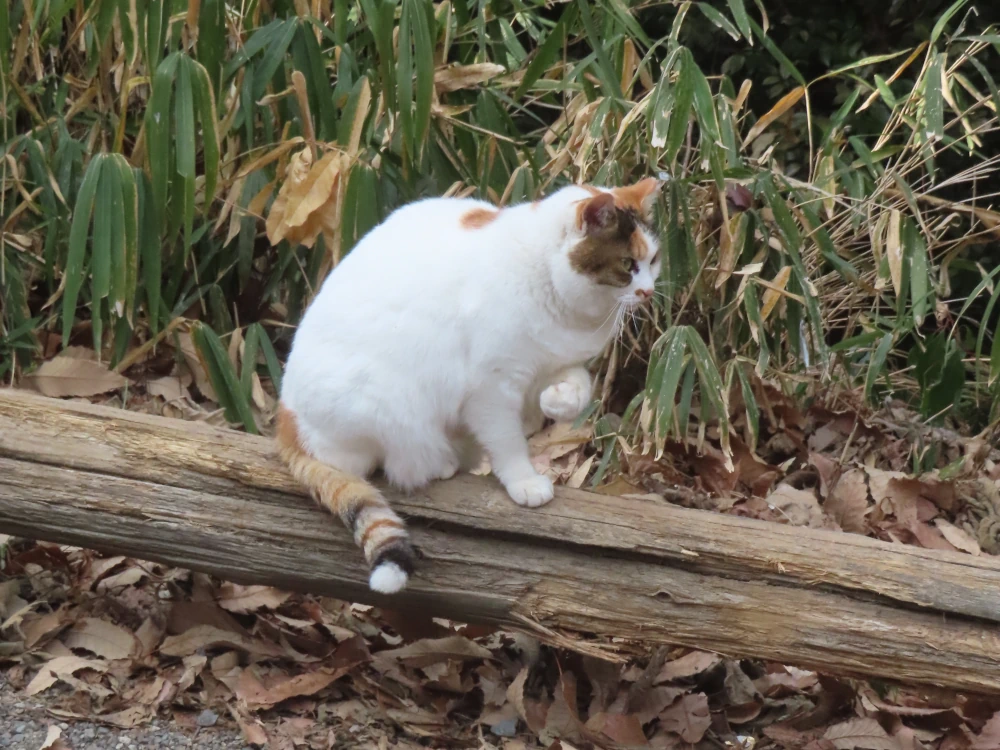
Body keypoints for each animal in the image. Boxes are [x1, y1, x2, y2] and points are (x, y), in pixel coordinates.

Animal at [278, 179, 660, 596]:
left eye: (654, 261)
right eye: (628, 265)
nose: (649, 292)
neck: (545, 280)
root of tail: (286, 415)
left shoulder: (555, 360)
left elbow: (579, 387)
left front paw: (556, 401)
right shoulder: (490, 388)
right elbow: (508, 442)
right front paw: (524, 481)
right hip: (383, 404)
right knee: (374, 462)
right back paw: (437, 464)